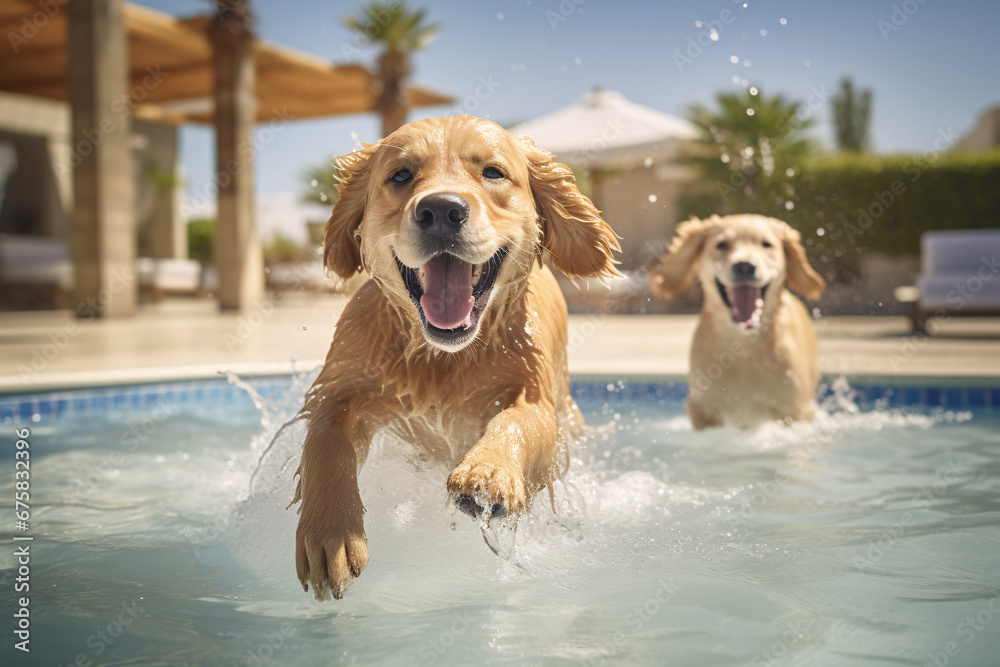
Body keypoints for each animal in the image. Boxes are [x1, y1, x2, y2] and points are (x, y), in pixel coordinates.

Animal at [292, 117, 616, 604]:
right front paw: (329, 533)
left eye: (493, 172)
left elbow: (517, 422)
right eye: (401, 175)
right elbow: (325, 444)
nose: (442, 210)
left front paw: (489, 472)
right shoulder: (341, 389)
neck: (445, 358)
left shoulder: (537, 400)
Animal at [648, 217, 828, 430]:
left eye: (766, 244)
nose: (744, 266)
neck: (742, 346)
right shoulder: (705, 411)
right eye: (722, 245)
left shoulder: (793, 411)